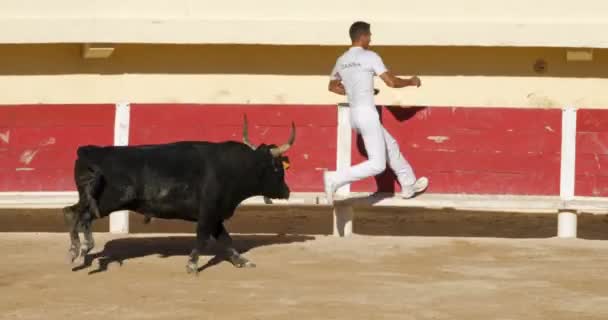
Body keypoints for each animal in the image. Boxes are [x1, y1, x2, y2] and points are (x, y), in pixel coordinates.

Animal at [63, 116, 296, 274]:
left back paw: (81, 250)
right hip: (107, 201)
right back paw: (78, 249)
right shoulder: (208, 212)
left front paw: (242, 261)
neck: (235, 167)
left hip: (93, 200)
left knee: (74, 213)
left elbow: (226, 239)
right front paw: (192, 264)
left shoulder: (216, 215)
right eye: (277, 167)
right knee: (78, 215)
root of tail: (88, 151)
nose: (287, 191)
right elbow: (203, 237)